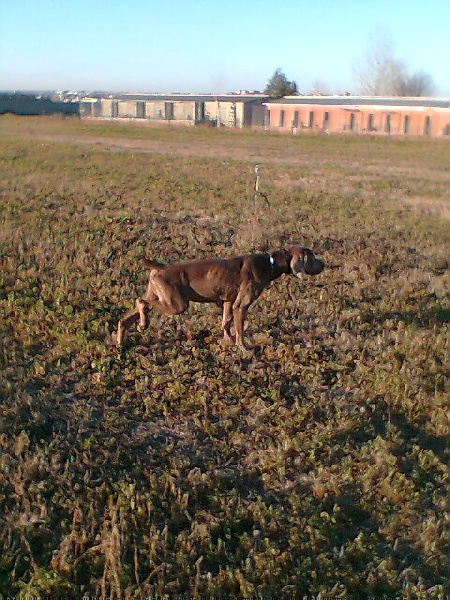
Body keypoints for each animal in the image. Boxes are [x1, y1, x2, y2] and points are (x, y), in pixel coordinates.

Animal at [115, 246, 324, 350]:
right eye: (312, 257)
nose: (324, 264)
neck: (270, 262)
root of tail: (159, 267)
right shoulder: (241, 304)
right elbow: (239, 330)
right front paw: (243, 348)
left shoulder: (228, 301)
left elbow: (226, 322)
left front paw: (227, 340)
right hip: (177, 303)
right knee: (141, 302)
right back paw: (142, 324)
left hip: (160, 295)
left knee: (126, 317)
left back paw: (121, 341)